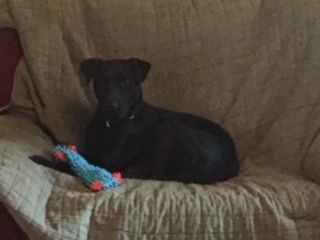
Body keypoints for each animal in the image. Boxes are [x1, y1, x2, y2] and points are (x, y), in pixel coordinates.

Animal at [31, 58, 239, 184]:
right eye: (103, 82)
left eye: (126, 83)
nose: (112, 106)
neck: (111, 124)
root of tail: (232, 165)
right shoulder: (93, 149)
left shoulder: (109, 159)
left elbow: (77, 166)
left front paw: (44, 160)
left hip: (168, 127)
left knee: (154, 173)